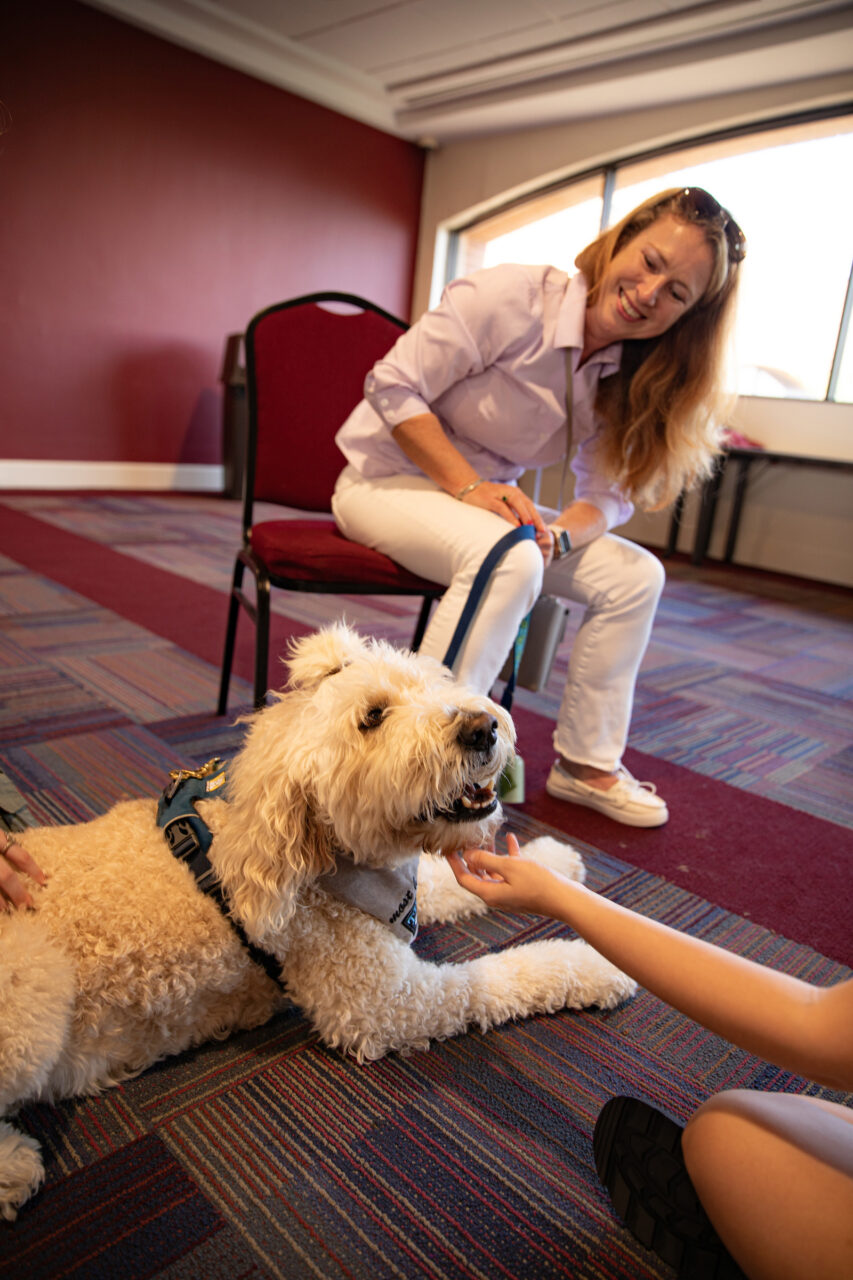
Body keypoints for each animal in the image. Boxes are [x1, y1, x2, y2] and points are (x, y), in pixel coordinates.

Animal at [0, 627, 630, 1218]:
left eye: (428, 683)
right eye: (372, 718)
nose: (482, 727)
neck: (322, 855)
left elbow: (445, 880)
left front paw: (553, 865)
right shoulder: (383, 1005)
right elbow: (504, 976)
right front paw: (595, 963)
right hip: (34, 982)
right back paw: (14, 1168)